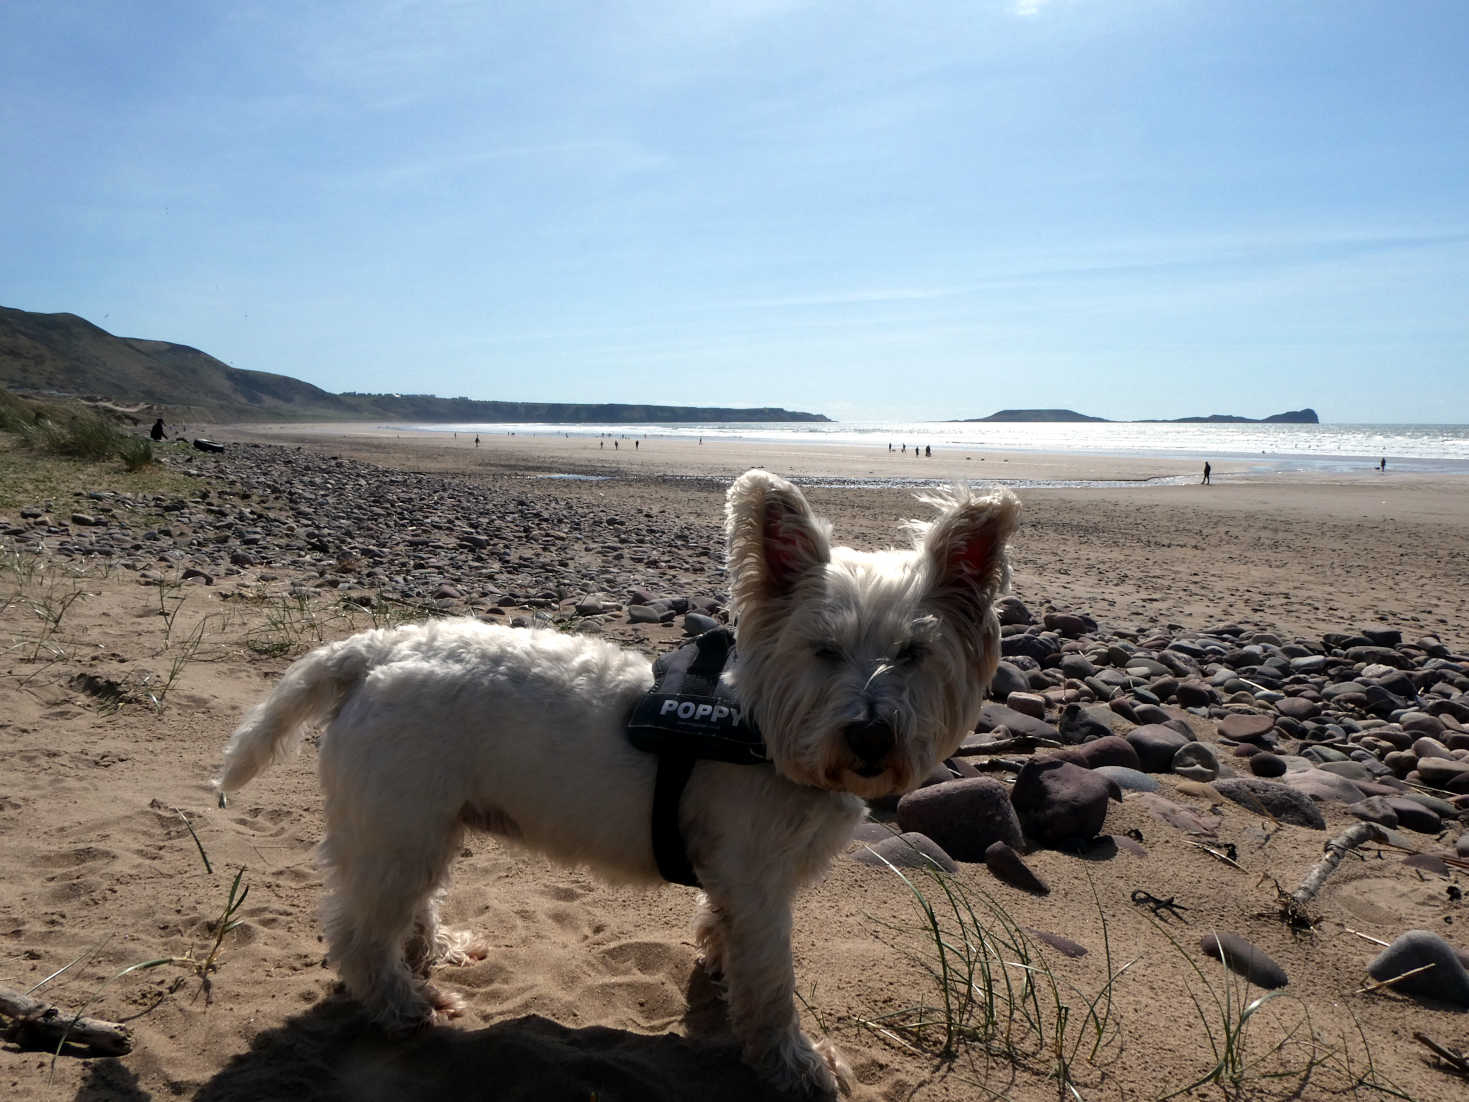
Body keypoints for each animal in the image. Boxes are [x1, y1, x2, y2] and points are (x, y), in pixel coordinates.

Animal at [214, 467, 1022, 1099]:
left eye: (912, 653)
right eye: (823, 649)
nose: (869, 736)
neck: (764, 728)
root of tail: (375, 649)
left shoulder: (738, 880)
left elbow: (728, 941)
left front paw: (719, 971)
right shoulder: (761, 882)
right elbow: (773, 984)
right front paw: (796, 1064)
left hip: (419, 828)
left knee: (402, 913)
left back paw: (436, 953)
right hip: (399, 828)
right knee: (359, 934)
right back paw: (405, 1004)